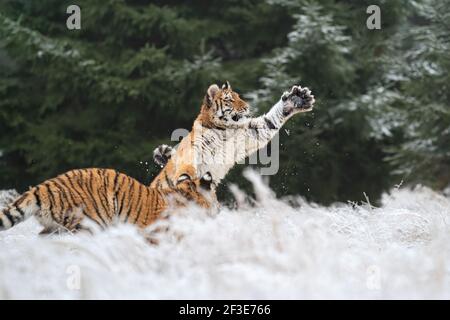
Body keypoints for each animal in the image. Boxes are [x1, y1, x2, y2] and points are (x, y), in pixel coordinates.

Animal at [149, 81, 314, 199]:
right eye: (230, 100)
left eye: (239, 96)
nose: (247, 107)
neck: (224, 129)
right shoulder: (194, 149)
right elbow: (188, 164)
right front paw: (186, 177)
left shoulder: (251, 133)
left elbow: (268, 122)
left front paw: (297, 99)